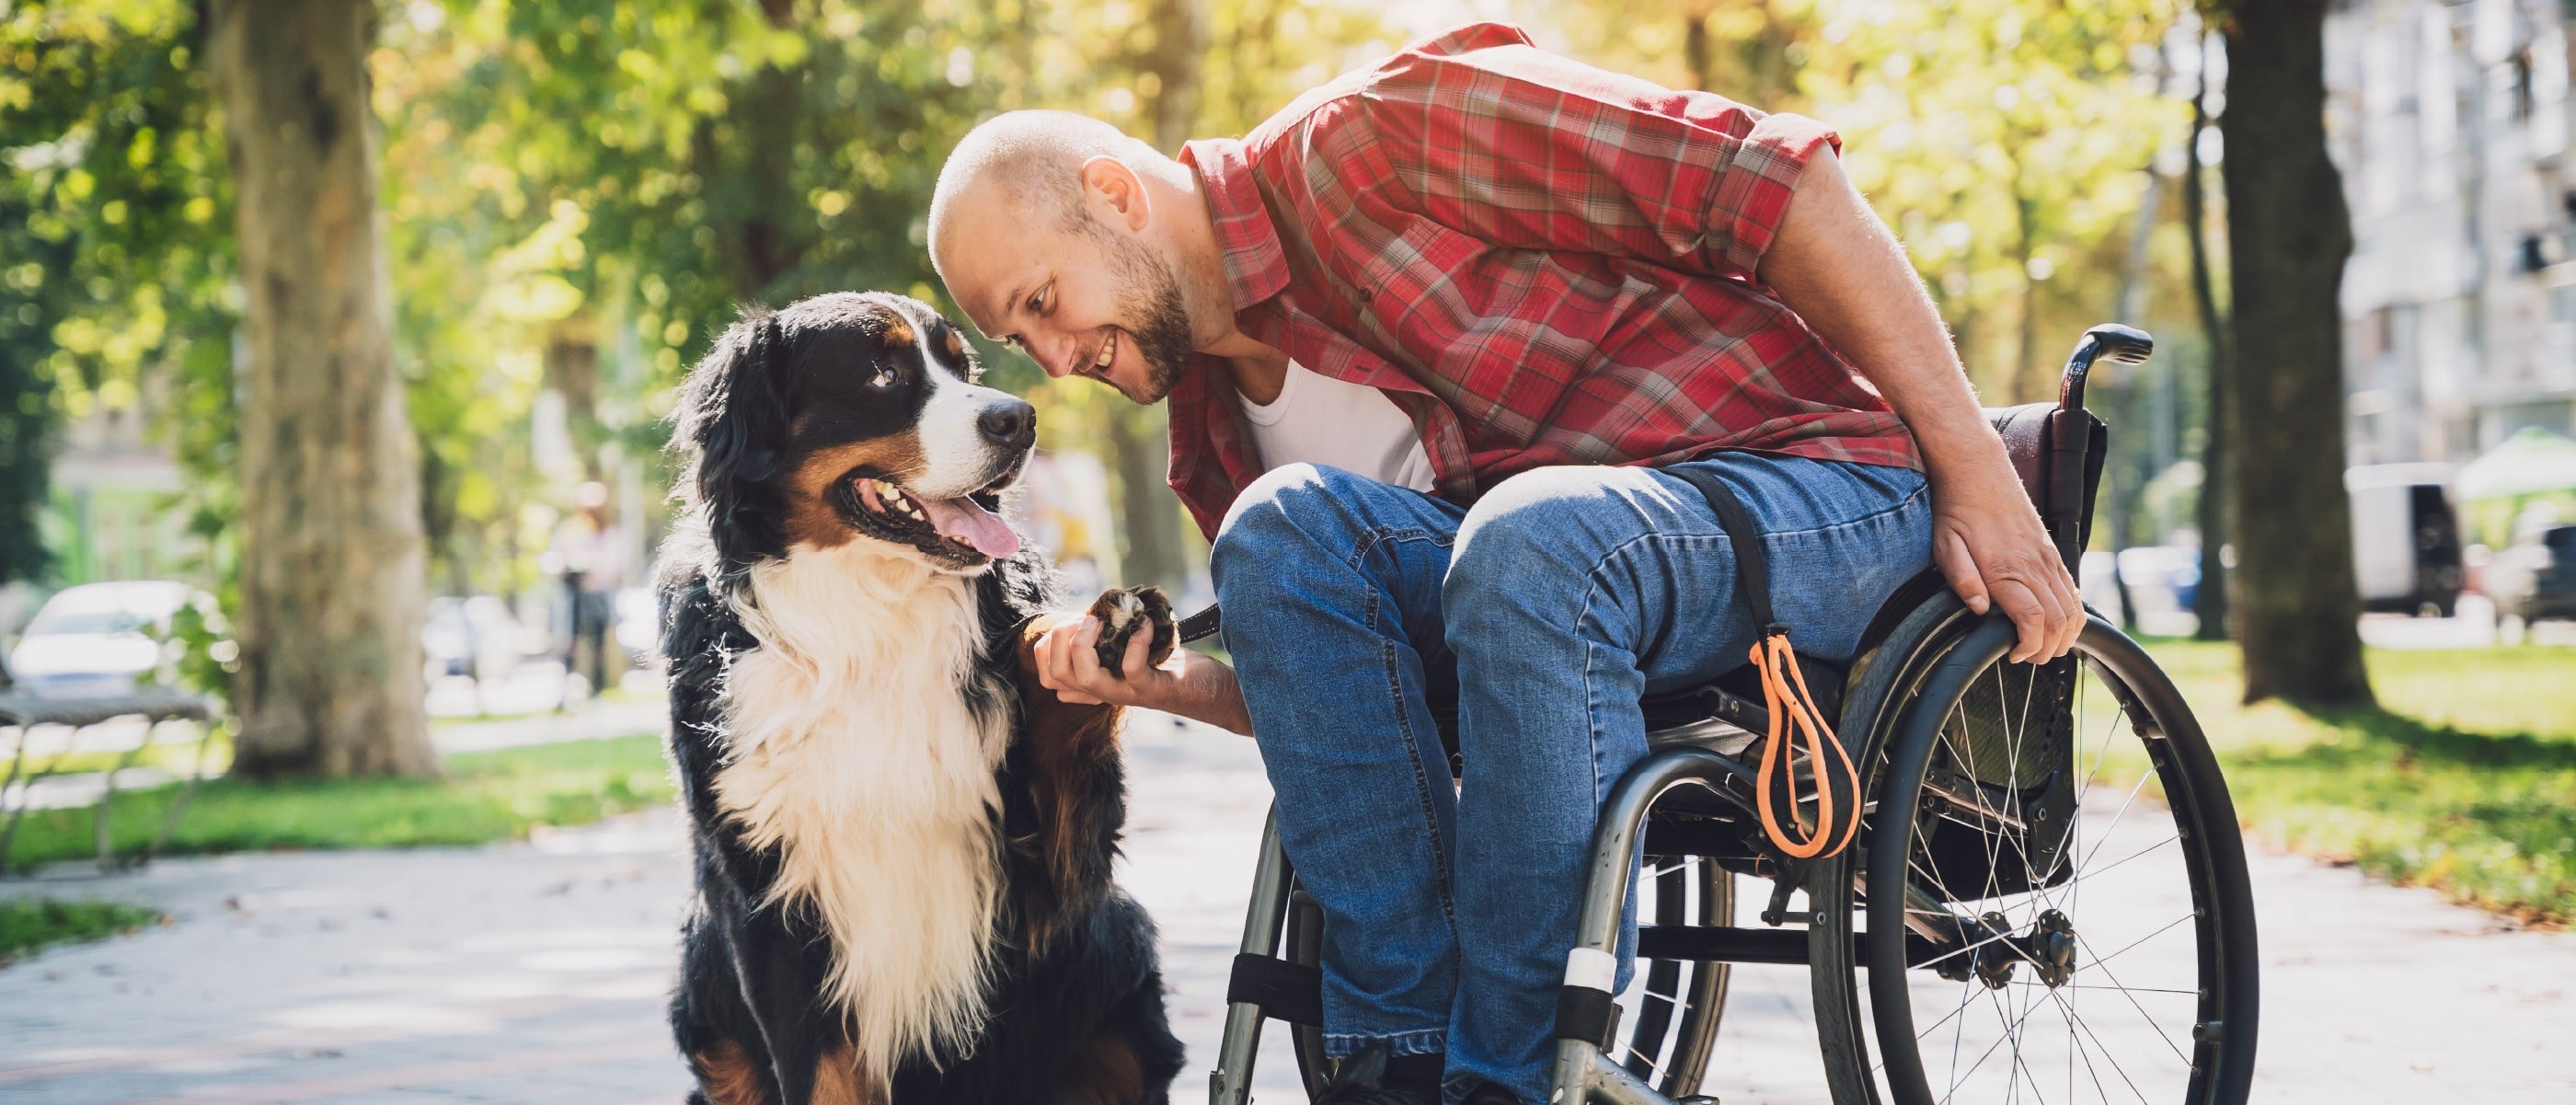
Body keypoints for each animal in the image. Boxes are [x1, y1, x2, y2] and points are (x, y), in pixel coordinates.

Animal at [659, 291, 1190, 1102]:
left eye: (961, 366)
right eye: (883, 373)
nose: (1020, 419)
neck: (869, 622)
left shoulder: (1044, 868)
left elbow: (1054, 694)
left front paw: (1099, 634)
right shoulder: (768, 907)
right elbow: (818, 1077)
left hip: (1119, 958)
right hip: (703, 970)